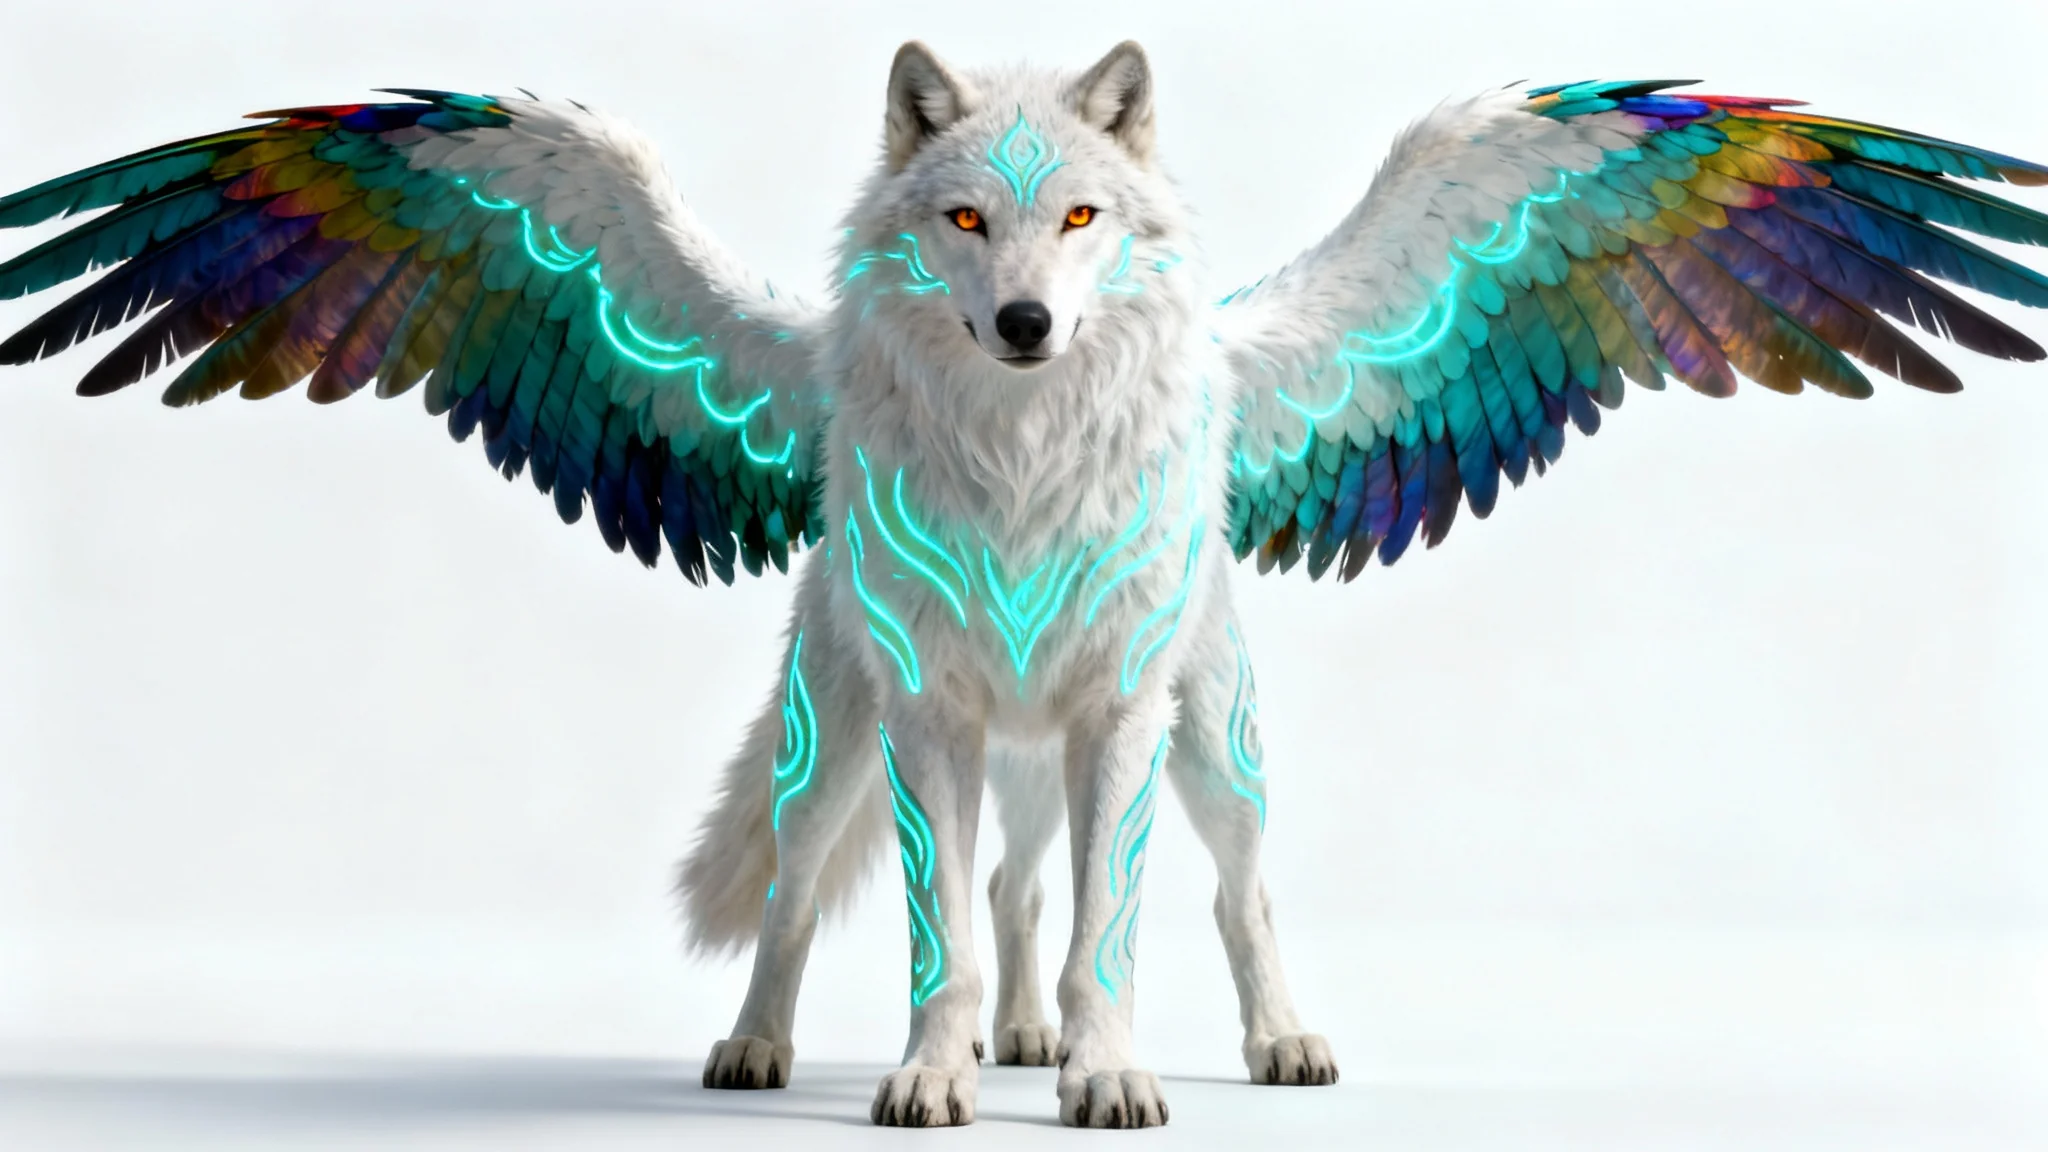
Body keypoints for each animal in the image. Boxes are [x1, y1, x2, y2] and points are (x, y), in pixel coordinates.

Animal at [3, 38, 2045, 1130]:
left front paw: (1108, 1074)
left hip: (1207, 738)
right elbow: (929, 938)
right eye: (963, 219)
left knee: (1214, 894)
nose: (1025, 325)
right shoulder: (925, 716)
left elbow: (1116, 929)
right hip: (837, 735)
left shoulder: (1118, 710)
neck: (1020, 467)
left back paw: (1258, 1038)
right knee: (836, 902)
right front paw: (935, 1075)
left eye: (1080, 218)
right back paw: (774, 1046)